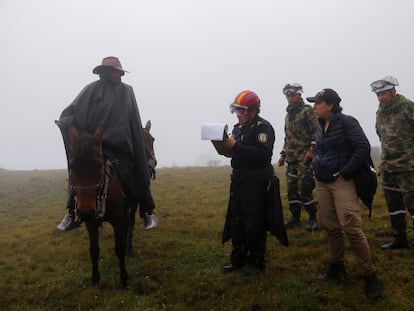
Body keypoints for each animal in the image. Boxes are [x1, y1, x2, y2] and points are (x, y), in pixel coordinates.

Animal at [68, 126, 129, 288]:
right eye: (72, 166)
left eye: (98, 165)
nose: (85, 211)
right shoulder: (91, 223)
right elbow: (94, 250)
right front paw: (95, 278)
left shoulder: (118, 220)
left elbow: (119, 249)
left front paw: (123, 278)